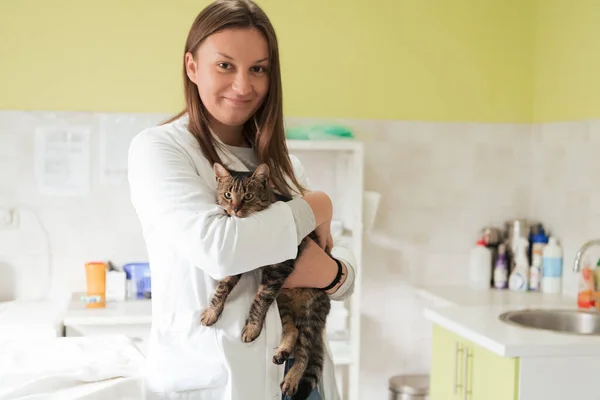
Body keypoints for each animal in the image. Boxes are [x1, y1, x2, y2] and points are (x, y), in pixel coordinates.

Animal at [200, 162, 332, 400]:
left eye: (248, 196)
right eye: (227, 195)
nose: (235, 209)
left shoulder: (278, 270)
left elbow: (259, 300)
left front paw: (252, 327)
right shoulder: (237, 262)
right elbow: (223, 286)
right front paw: (212, 311)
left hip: (310, 311)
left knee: (305, 351)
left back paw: (291, 379)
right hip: (283, 304)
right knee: (292, 331)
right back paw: (282, 352)